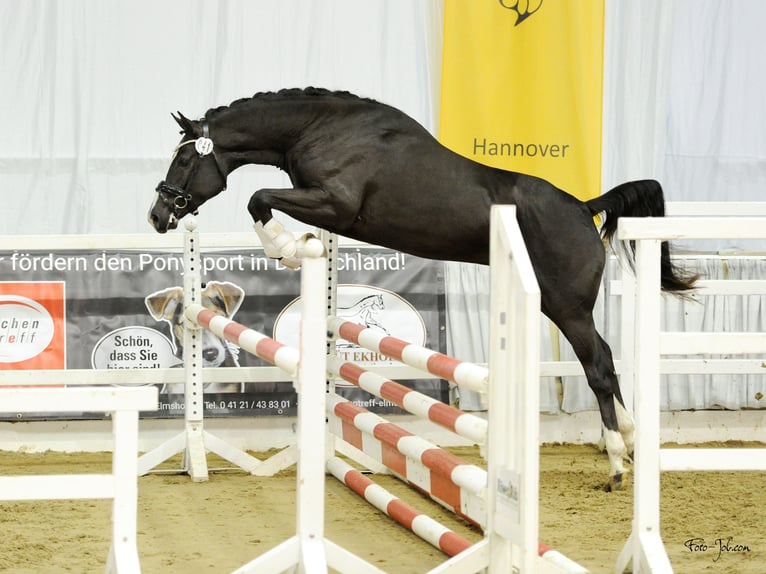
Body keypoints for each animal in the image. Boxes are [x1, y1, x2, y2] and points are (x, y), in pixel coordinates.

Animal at [147, 86, 700, 490]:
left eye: (183, 162)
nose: (157, 216)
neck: (321, 129)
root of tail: (585, 207)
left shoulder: (334, 203)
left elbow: (259, 199)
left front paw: (286, 247)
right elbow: (263, 201)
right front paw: (296, 245)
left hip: (567, 307)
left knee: (599, 367)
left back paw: (617, 463)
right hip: (564, 307)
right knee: (605, 359)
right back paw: (630, 440)